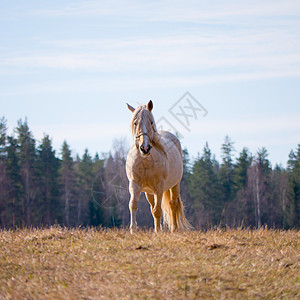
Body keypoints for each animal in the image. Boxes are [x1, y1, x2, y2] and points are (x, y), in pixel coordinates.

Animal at [125, 99, 191, 233]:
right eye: (135, 123)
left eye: (151, 122)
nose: (145, 148)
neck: (146, 162)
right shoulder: (134, 185)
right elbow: (133, 204)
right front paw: (133, 230)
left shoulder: (159, 188)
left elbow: (157, 210)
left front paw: (158, 232)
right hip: (149, 192)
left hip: (175, 185)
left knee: (173, 203)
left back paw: (174, 229)